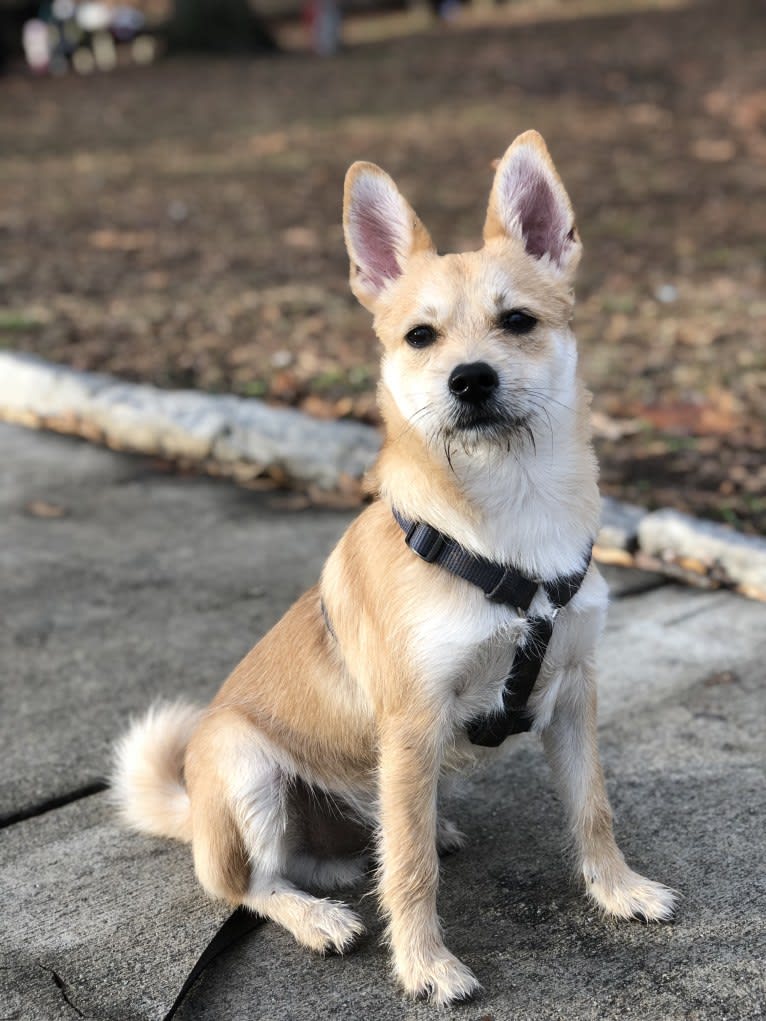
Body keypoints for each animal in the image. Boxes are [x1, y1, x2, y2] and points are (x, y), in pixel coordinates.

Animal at [113, 133, 678, 1004]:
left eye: (518, 321)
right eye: (420, 337)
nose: (470, 379)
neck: (508, 519)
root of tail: (197, 812)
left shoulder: (575, 690)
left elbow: (593, 809)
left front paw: (618, 889)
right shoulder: (412, 722)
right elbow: (409, 872)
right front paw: (424, 964)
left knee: (356, 844)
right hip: (246, 766)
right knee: (255, 882)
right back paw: (315, 914)